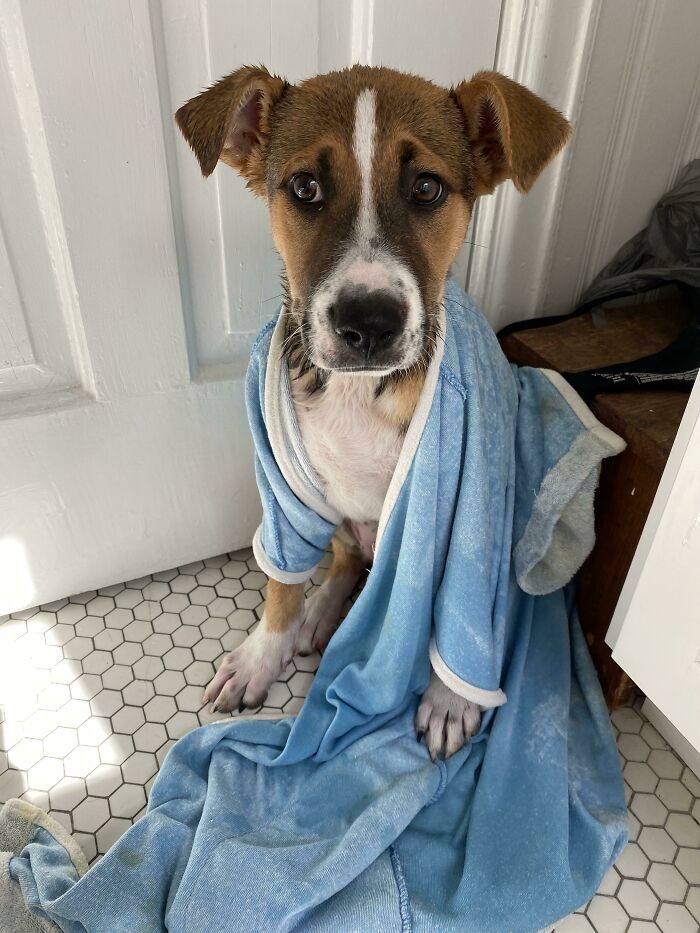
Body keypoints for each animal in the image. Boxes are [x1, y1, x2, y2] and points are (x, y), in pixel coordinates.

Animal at [174, 63, 568, 756]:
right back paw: (322, 612)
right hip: (330, 514)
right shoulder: (284, 491)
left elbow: (458, 622)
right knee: (344, 558)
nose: (368, 324)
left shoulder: (469, 520)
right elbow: (281, 583)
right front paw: (263, 657)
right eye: (304, 186)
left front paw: (450, 702)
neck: (360, 391)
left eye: (427, 187)